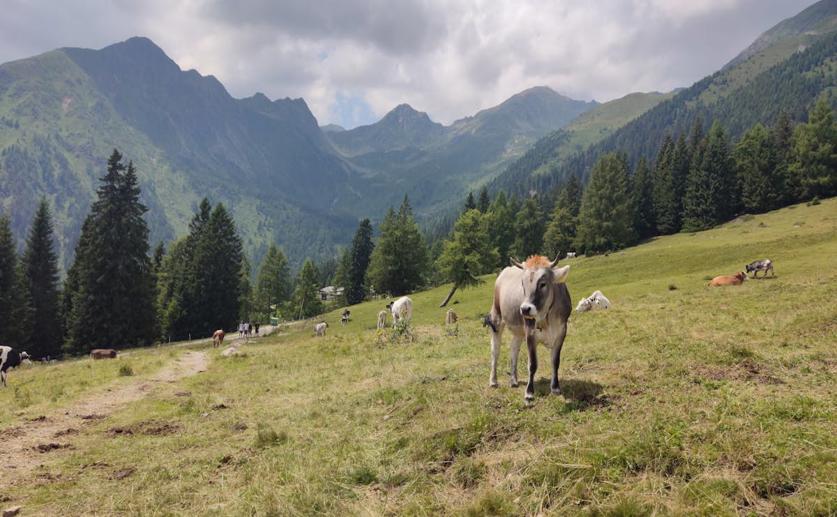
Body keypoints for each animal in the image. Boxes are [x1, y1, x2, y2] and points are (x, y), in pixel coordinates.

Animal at [486, 255, 571, 401]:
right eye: (523, 283)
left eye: (543, 283)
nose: (525, 309)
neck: (546, 317)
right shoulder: (530, 333)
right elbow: (532, 364)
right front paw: (529, 393)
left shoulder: (561, 332)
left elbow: (555, 361)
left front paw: (555, 388)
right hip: (496, 318)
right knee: (495, 351)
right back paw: (493, 381)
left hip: (519, 330)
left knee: (514, 349)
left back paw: (514, 380)